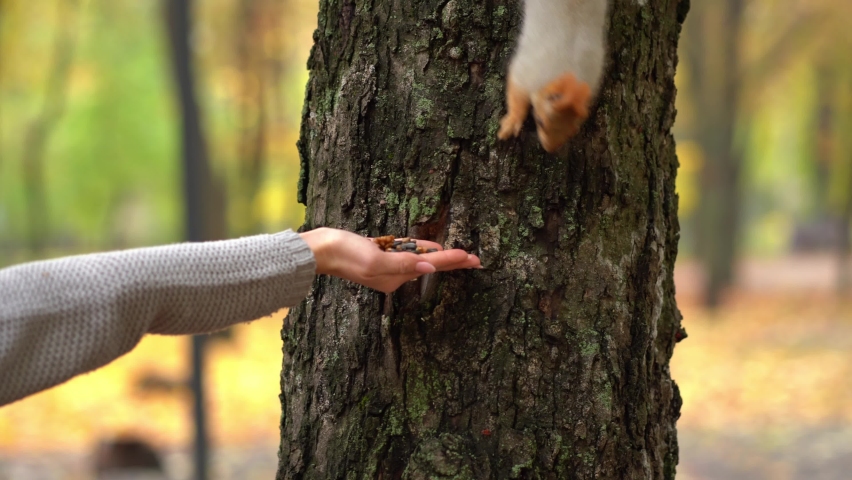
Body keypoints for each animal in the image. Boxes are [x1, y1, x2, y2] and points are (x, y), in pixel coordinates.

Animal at [497, 0, 610, 153]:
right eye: (539, 122)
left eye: (573, 131)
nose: (550, 149)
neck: (570, 70)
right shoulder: (527, 72)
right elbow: (517, 93)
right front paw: (512, 122)